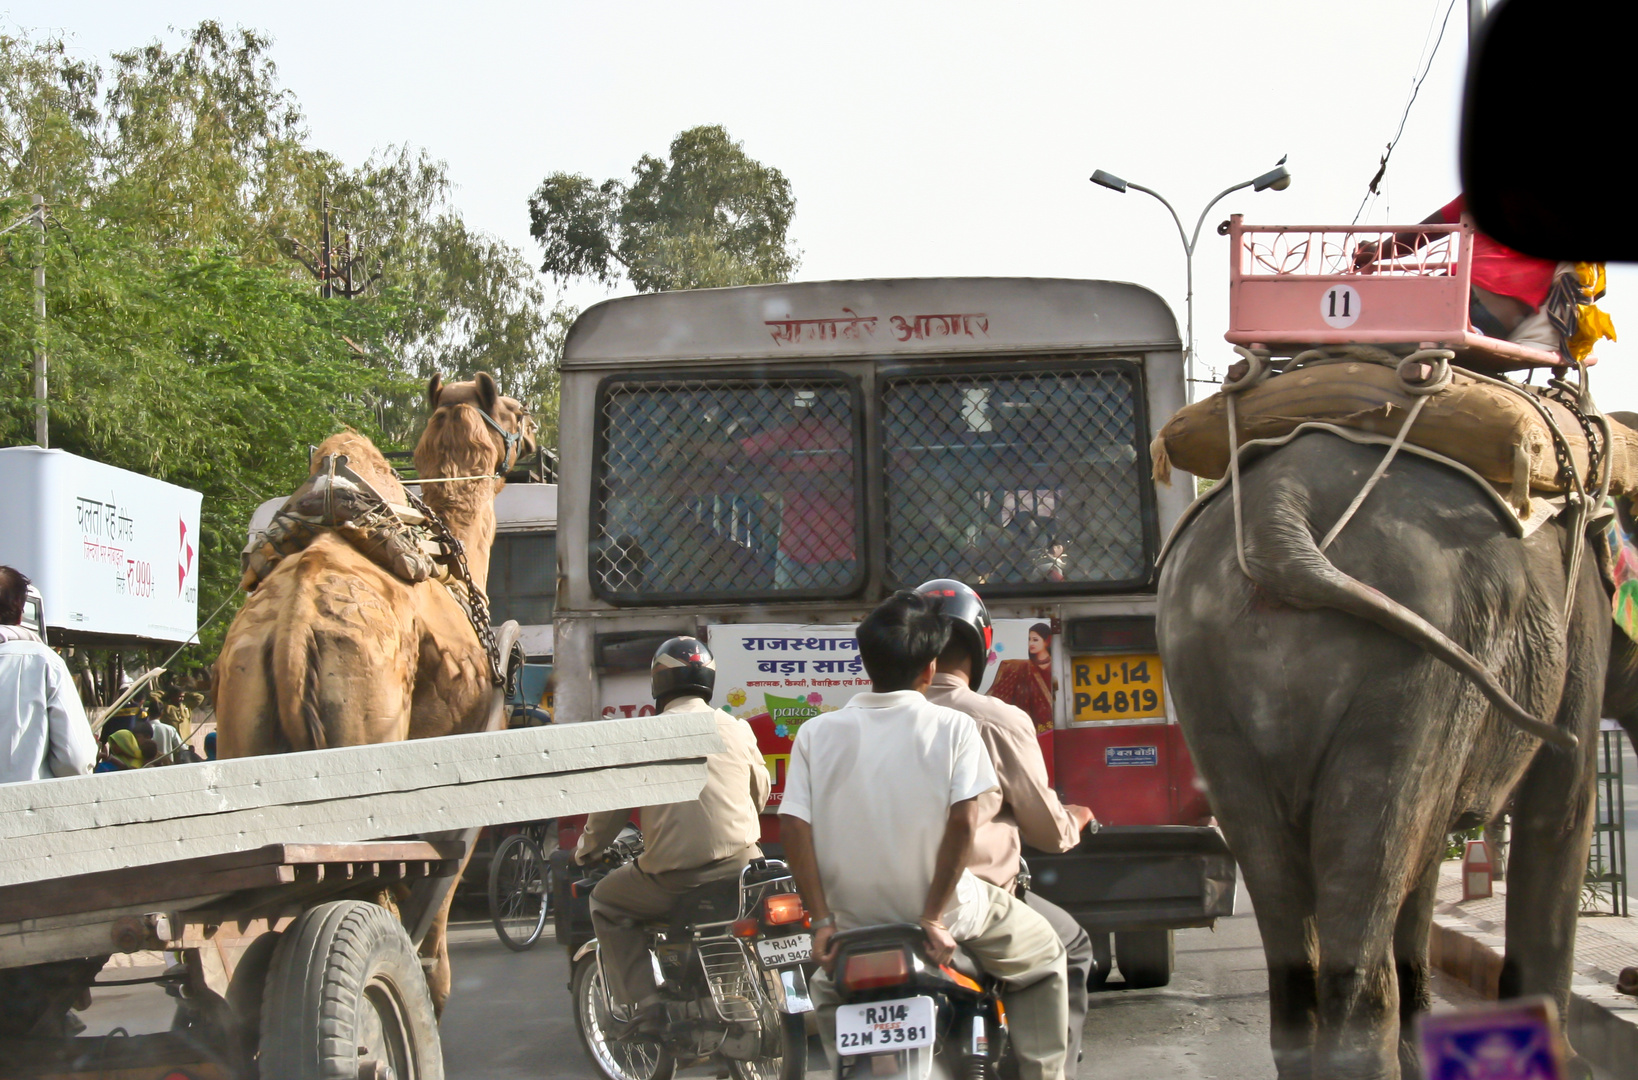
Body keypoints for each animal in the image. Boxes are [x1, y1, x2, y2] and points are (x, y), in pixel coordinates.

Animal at [212, 372, 537, 1016]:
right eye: (512, 410)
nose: (536, 431)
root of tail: (290, 636)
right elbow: (443, 876)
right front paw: (434, 986)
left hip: (243, 713)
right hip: (365, 722)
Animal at [1159, 432, 1631, 1080]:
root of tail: (1278, 512)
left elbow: (1426, 856)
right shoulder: (1580, 627)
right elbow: (1560, 811)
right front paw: (1569, 1064)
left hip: (1199, 668)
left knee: (1284, 878)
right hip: (1416, 654)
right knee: (1370, 866)